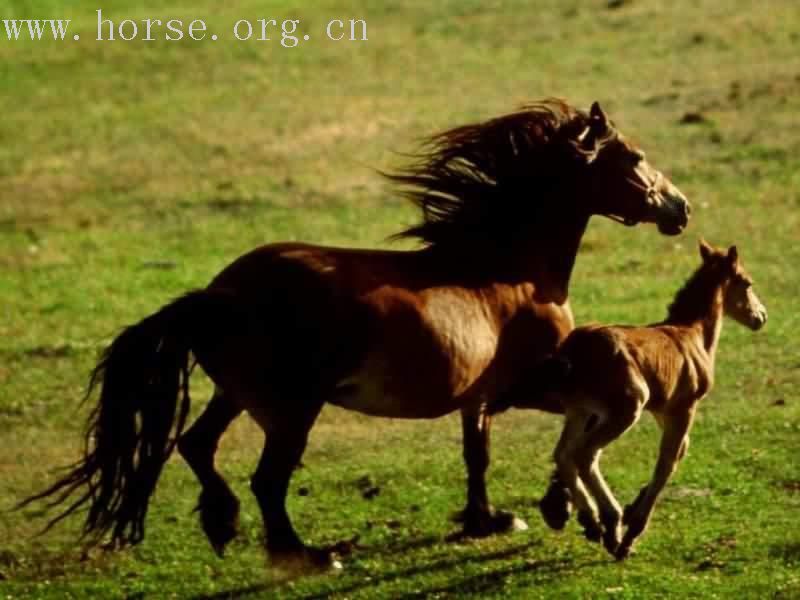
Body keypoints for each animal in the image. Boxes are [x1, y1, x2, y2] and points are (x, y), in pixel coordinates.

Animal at [21, 99, 692, 572]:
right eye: (633, 158)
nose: (680, 208)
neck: (506, 269)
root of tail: (214, 295)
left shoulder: (479, 395)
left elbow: (477, 452)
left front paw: (489, 519)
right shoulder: (530, 382)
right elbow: (566, 438)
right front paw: (572, 514)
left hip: (237, 396)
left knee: (197, 445)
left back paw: (222, 523)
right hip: (292, 409)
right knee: (266, 480)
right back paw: (308, 554)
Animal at [532, 241, 764, 560]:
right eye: (747, 282)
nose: (761, 317)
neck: (692, 334)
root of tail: (573, 352)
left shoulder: (663, 409)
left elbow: (680, 450)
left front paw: (633, 508)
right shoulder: (685, 407)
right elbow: (666, 462)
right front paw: (633, 529)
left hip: (580, 410)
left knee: (564, 454)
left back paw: (592, 521)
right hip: (626, 408)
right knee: (586, 453)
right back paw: (611, 525)